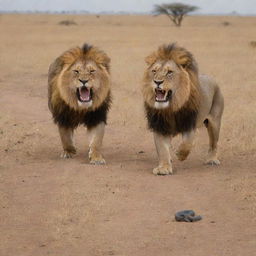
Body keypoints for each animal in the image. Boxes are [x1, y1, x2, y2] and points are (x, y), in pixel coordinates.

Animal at [142, 44, 224, 176]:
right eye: (154, 71)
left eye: (169, 72)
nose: (157, 82)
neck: (171, 107)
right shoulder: (160, 126)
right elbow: (162, 148)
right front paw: (164, 167)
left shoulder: (189, 123)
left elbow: (187, 142)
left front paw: (180, 154)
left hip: (215, 122)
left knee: (213, 143)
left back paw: (212, 159)